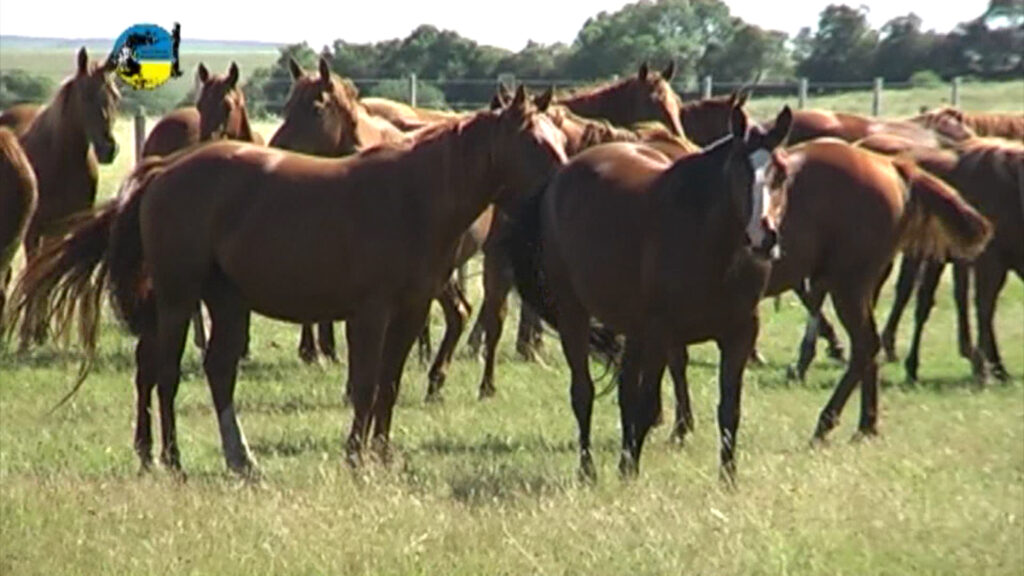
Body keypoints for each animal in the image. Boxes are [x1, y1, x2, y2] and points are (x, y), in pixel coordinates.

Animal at [2, 47, 119, 347]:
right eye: (86, 95)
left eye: (116, 96)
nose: (109, 149)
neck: (61, 158)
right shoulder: (33, 231)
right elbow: (33, 275)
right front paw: (26, 336)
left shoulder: (65, 227)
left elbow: (48, 275)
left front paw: (40, 332)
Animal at [8, 85, 568, 476]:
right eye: (537, 142)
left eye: (561, 140)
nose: (566, 181)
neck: (414, 195)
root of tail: (163, 171)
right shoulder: (370, 314)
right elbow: (366, 384)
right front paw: (355, 456)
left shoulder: (410, 312)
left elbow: (388, 384)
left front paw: (382, 453)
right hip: (177, 298)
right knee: (162, 371)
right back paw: (168, 456)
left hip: (225, 302)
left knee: (210, 371)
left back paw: (234, 458)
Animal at [501, 102, 794, 480]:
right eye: (740, 172)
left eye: (781, 173)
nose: (764, 237)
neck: (710, 244)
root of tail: (558, 179)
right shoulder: (661, 334)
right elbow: (647, 404)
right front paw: (628, 470)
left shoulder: (739, 334)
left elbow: (729, 409)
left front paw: (728, 479)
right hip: (574, 314)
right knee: (583, 392)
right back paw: (587, 470)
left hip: (631, 328)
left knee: (625, 390)